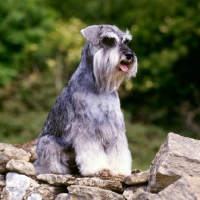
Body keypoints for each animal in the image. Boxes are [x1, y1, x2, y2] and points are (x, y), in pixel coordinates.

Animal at [34, 25, 138, 178]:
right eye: (108, 40)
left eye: (126, 41)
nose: (129, 55)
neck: (100, 86)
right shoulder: (85, 124)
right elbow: (91, 149)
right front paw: (98, 169)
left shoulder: (115, 123)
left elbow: (118, 149)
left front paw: (119, 170)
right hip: (47, 142)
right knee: (46, 163)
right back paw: (58, 170)